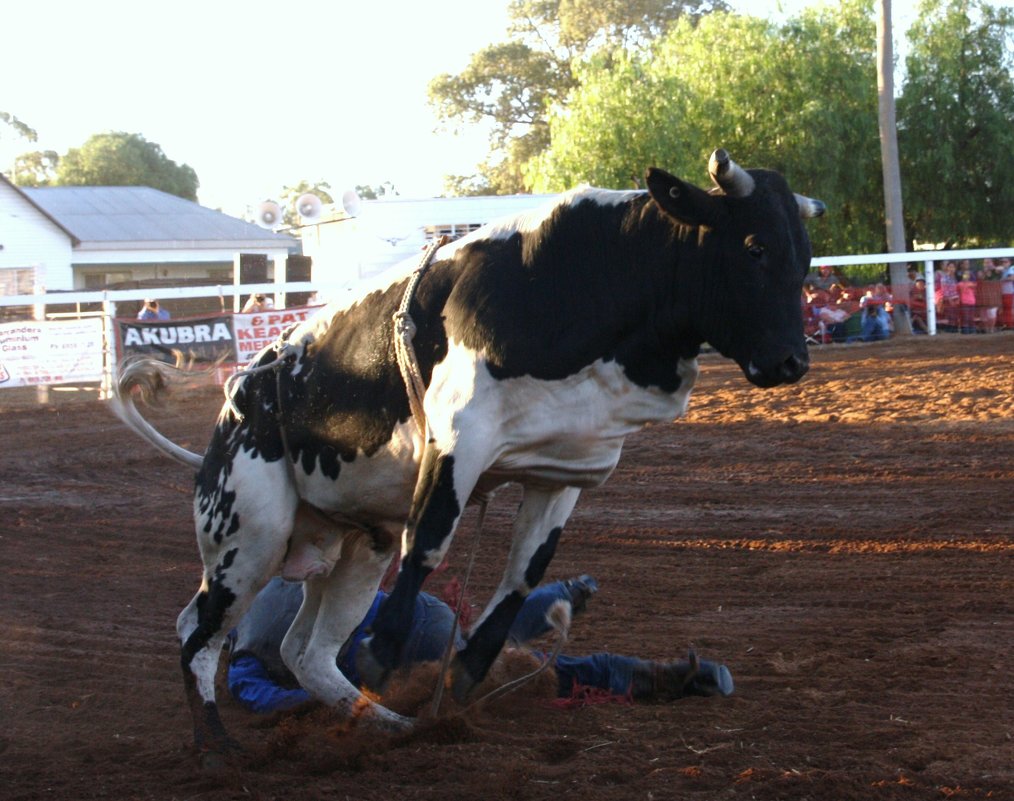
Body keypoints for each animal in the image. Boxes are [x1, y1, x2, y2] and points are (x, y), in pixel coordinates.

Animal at [113, 150, 823, 758]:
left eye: (806, 257)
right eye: (754, 247)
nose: (792, 362)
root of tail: (242, 393)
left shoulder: (565, 469)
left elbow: (523, 575)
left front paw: (463, 671)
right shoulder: (460, 436)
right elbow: (428, 542)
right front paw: (384, 653)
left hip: (353, 544)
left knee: (305, 652)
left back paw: (391, 724)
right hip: (248, 529)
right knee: (198, 631)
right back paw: (216, 745)